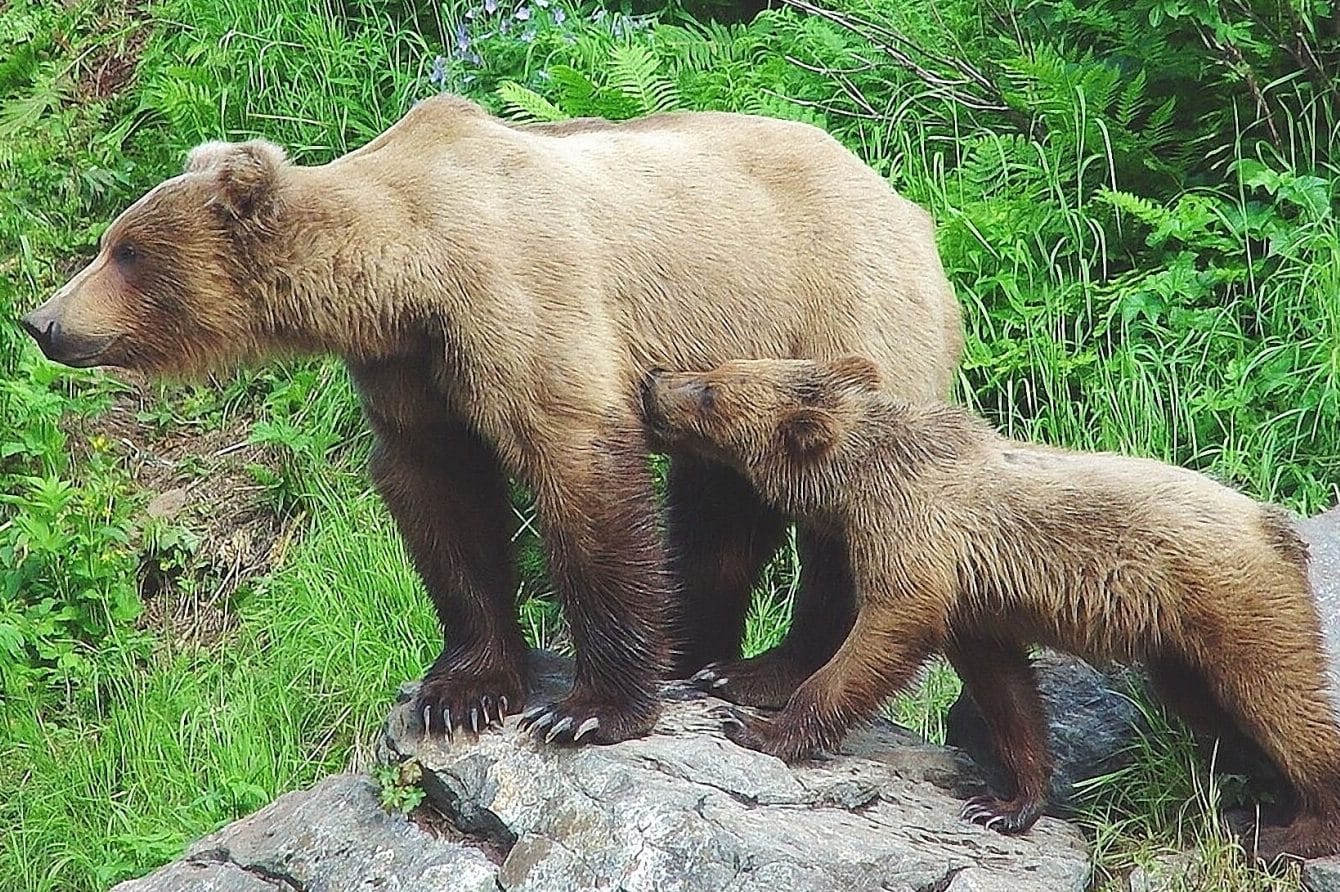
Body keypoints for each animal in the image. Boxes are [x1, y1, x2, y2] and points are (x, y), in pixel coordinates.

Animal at [20, 95, 963, 745]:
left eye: (127, 252)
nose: (41, 321)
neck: (408, 268)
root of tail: (913, 206)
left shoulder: (519, 299)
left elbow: (577, 466)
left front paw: (588, 710)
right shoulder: (411, 367)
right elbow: (442, 496)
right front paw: (459, 692)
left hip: (837, 313)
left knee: (841, 508)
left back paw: (763, 672)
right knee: (717, 504)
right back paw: (696, 649)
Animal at [640, 356, 1340, 861]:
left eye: (711, 389)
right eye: (720, 366)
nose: (652, 382)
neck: (860, 483)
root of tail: (1275, 523)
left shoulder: (916, 540)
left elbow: (884, 631)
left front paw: (759, 725)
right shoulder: (975, 598)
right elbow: (1005, 689)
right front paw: (1006, 803)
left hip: (1233, 607)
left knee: (1283, 705)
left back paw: (1294, 830)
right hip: (1182, 652)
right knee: (1221, 712)